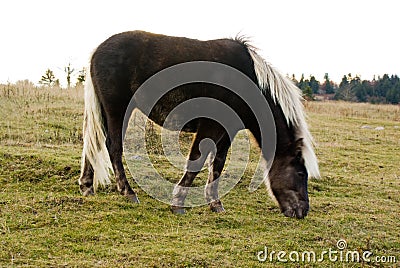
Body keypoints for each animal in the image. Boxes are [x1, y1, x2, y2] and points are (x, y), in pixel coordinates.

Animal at [79, 30, 318, 219]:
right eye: (300, 173)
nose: (302, 211)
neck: (249, 81)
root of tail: (97, 51)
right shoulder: (211, 126)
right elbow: (197, 161)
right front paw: (178, 203)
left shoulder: (227, 131)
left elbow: (217, 165)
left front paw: (215, 203)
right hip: (117, 110)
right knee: (113, 147)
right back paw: (128, 192)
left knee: (94, 144)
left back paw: (87, 186)